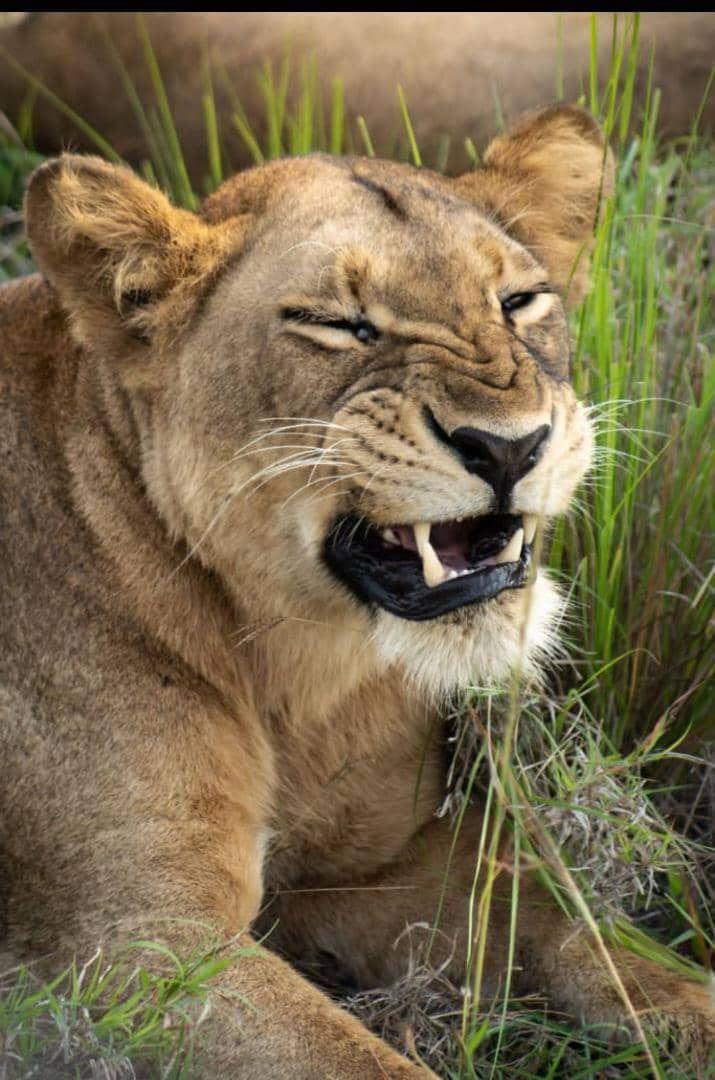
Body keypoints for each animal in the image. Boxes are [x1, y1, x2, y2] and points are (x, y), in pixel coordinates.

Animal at [1, 105, 713, 1078]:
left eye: (518, 302)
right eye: (336, 324)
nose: (509, 446)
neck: (298, 672)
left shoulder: (384, 866)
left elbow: (584, 939)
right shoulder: (134, 943)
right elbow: (361, 1061)